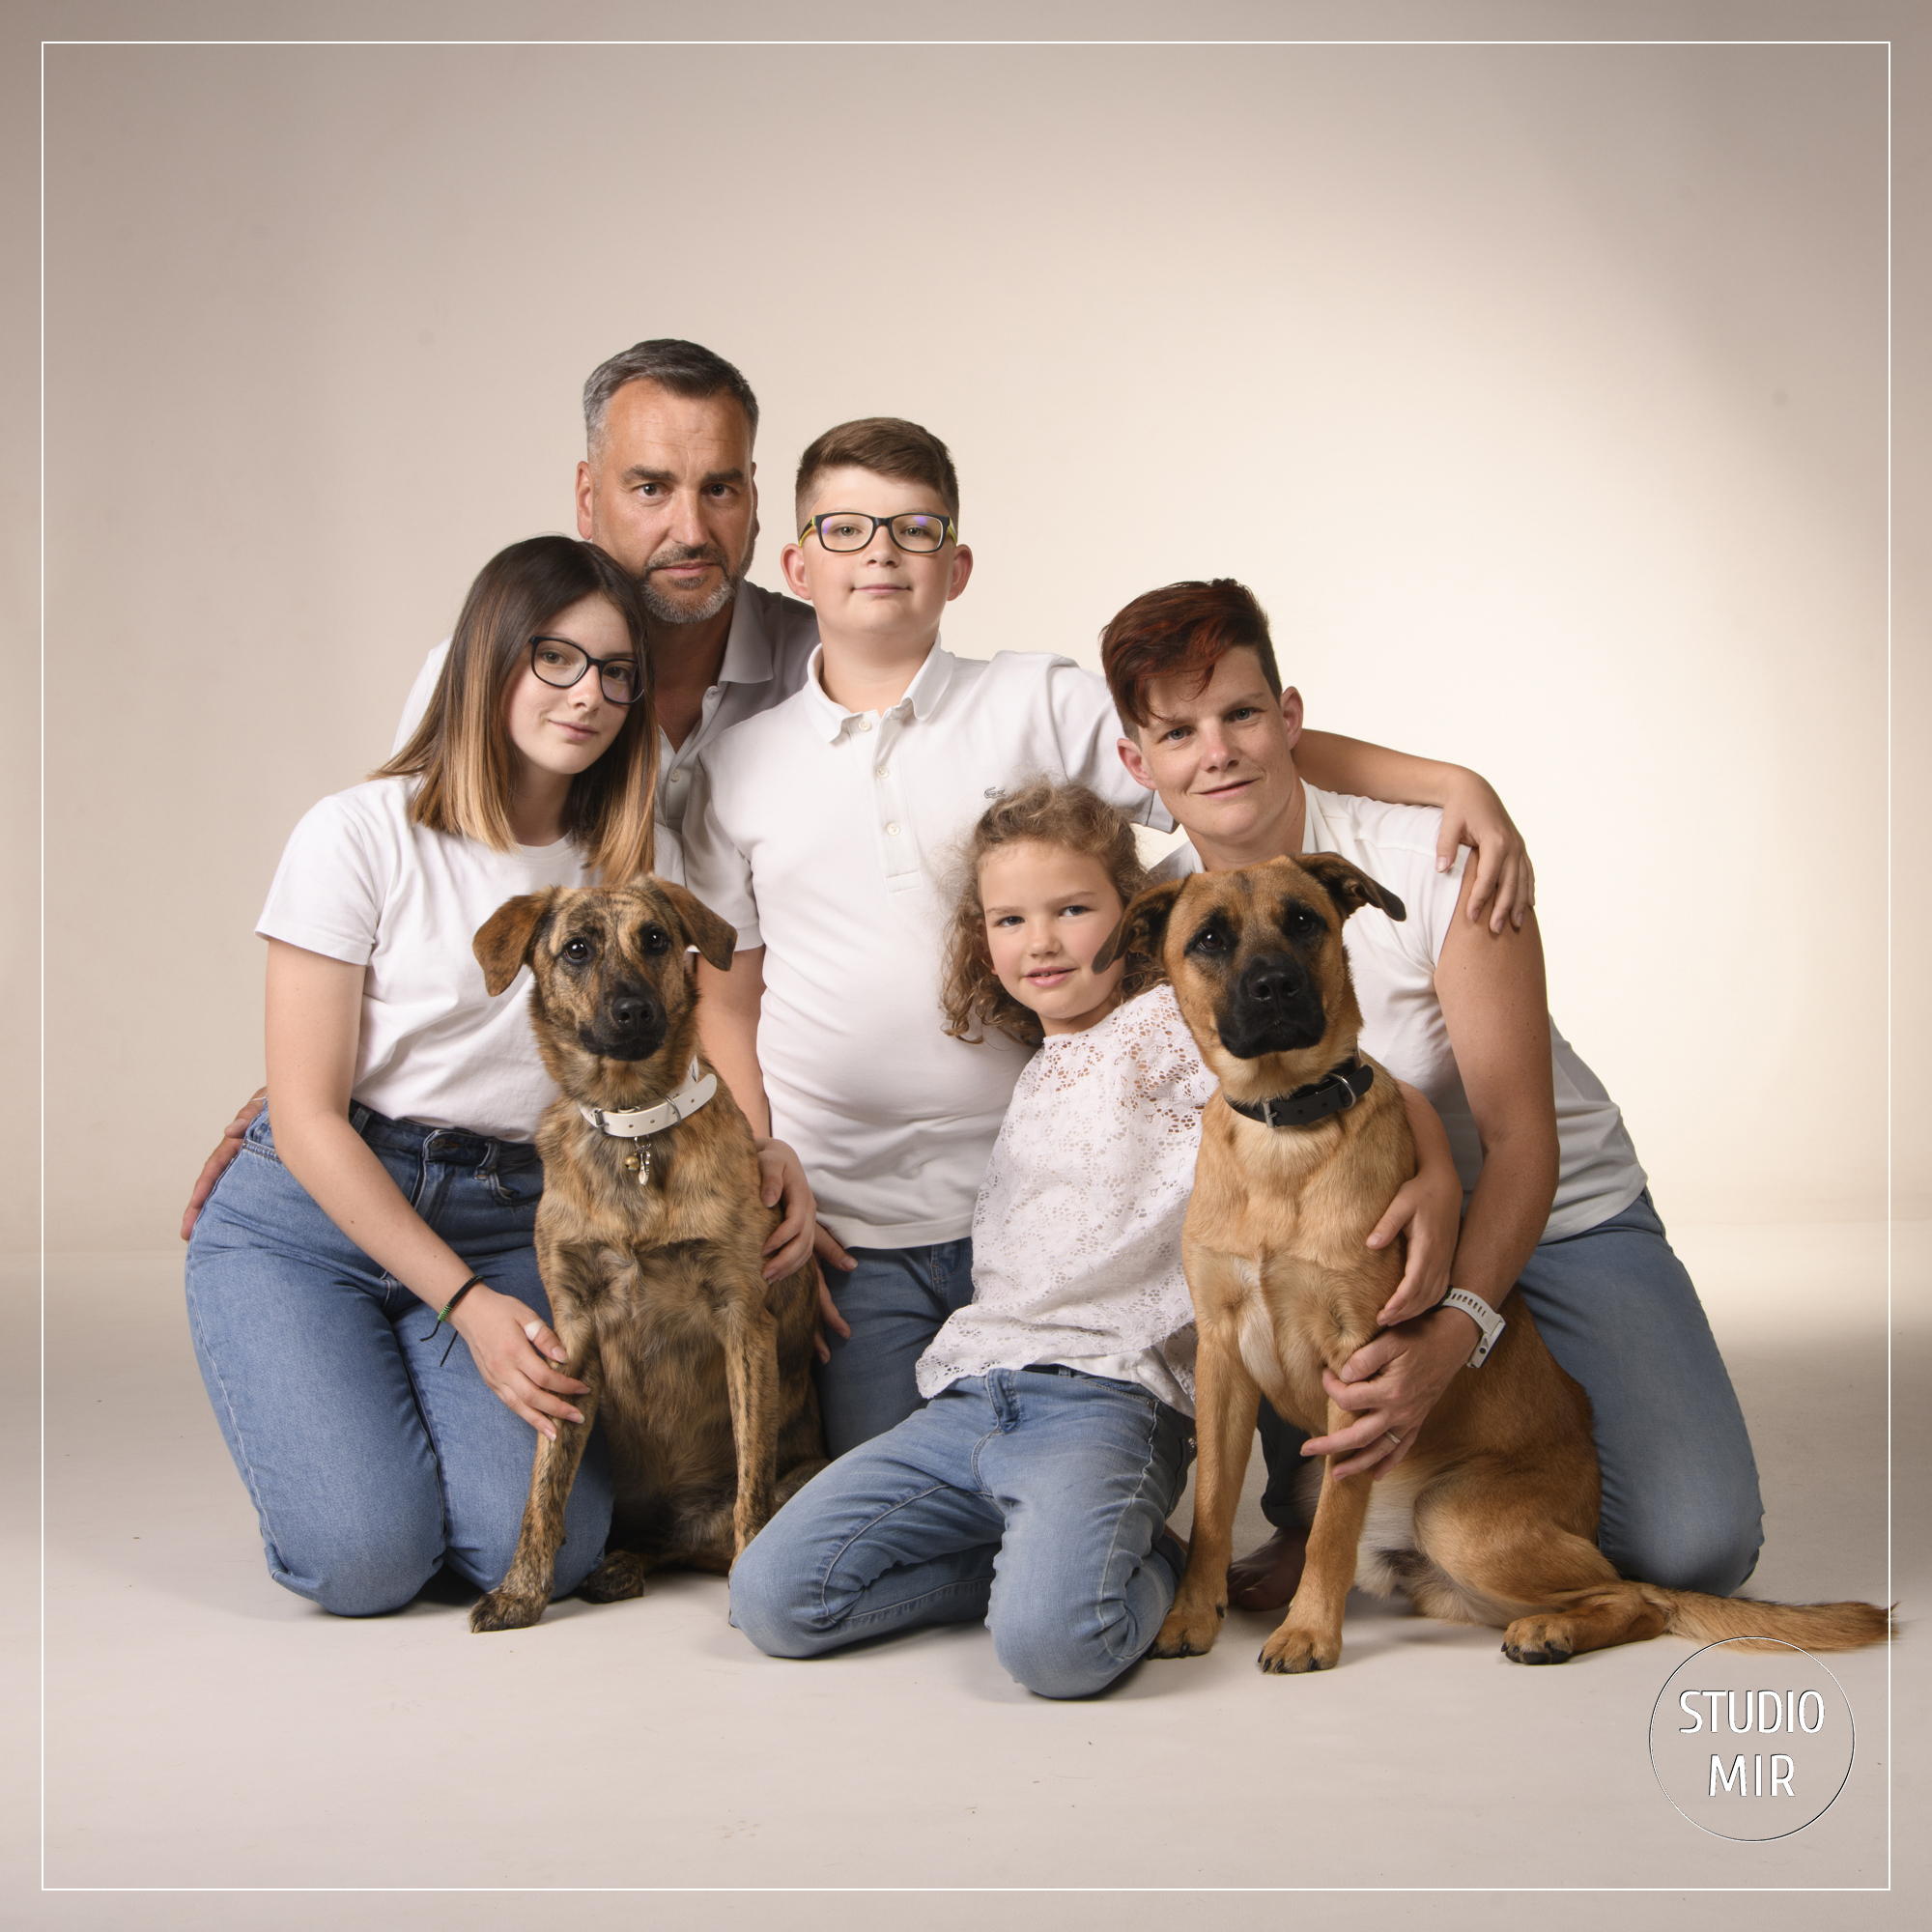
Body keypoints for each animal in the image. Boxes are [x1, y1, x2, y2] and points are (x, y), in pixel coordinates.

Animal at [475, 881, 831, 1631]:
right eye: (577, 949)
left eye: (657, 940)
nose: (634, 1010)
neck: (633, 1130)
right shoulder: (572, 1331)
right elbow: (543, 1490)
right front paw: (521, 1591)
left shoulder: (742, 1321)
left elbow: (752, 1482)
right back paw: (617, 1565)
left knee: (717, 1532)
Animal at [1097, 862, 1893, 1677]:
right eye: (1210, 939)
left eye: (1303, 921)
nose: (1276, 987)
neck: (1285, 1133)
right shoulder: (1224, 1361)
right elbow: (1213, 1506)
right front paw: (1193, 1614)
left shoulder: (1359, 1369)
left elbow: (1330, 1530)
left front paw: (1310, 1631)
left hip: (1453, 1515)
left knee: (1641, 1598)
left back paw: (1553, 1632)